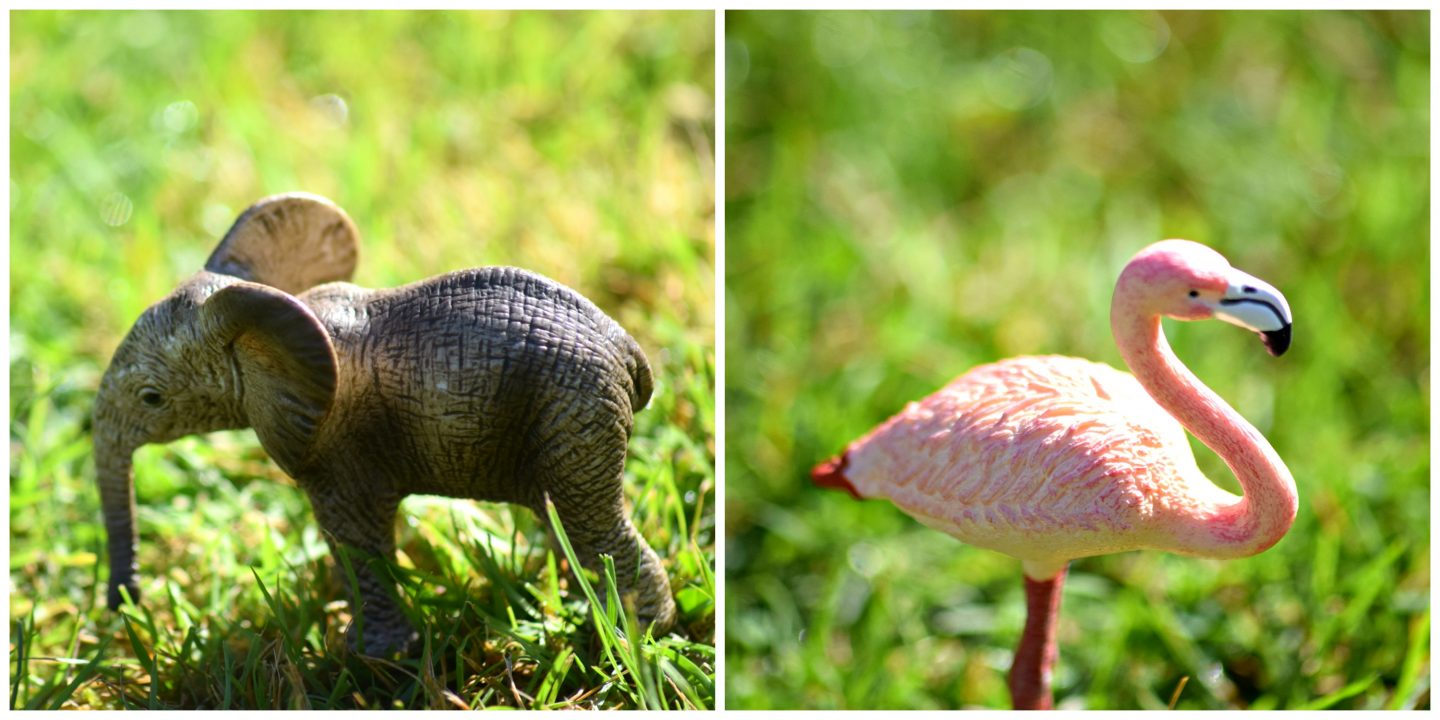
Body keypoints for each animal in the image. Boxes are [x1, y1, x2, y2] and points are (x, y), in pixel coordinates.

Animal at [93, 192, 677, 653]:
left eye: (151, 398)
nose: (124, 606)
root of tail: (630, 352)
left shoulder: (337, 444)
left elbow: (356, 539)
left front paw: (371, 659)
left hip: (574, 413)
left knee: (590, 524)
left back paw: (631, 637)